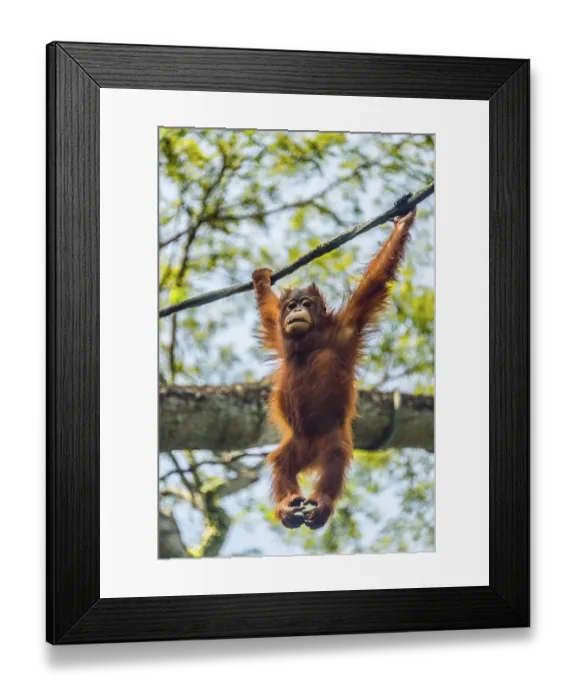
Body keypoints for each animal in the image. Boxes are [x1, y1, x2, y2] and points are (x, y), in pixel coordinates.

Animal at [251, 207, 417, 530]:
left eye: (306, 303)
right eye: (291, 306)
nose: (296, 311)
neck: (308, 343)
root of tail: (311, 454)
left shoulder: (347, 328)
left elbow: (373, 283)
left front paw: (402, 222)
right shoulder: (279, 334)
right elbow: (268, 313)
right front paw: (261, 280)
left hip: (332, 438)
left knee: (334, 459)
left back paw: (321, 504)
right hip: (296, 443)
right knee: (281, 463)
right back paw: (288, 504)